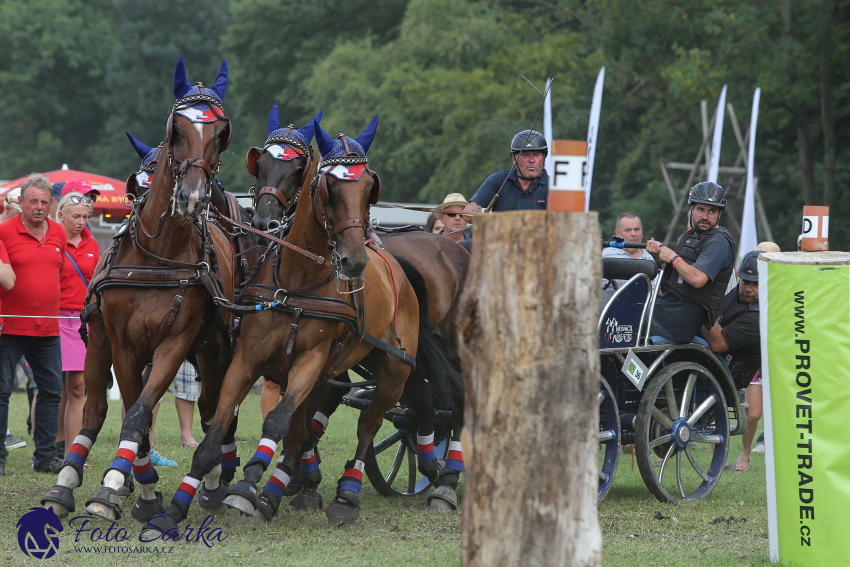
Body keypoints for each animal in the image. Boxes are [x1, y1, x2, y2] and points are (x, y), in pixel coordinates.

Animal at [41, 56, 235, 524]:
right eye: (176, 129)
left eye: (221, 133)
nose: (192, 197)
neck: (159, 256)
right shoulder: (123, 343)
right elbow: (132, 414)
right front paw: (130, 488)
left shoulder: (176, 342)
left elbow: (140, 414)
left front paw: (121, 487)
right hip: (97, 344)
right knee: (93, 409)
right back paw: (66, 482)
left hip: (213, 348)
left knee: (209, 411)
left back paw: (211, 482)